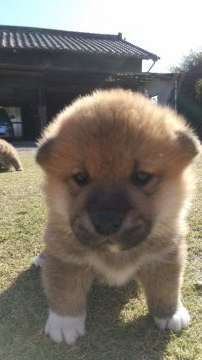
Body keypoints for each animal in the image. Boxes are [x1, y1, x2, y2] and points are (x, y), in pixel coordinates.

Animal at [35, 88, 200, 344]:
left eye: (142, 176)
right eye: (80, 178)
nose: (106, 222)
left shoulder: (165, 254)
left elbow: (167, 287)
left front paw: (170, 314)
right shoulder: (65, 256)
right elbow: (64, 290)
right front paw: (64, 323)